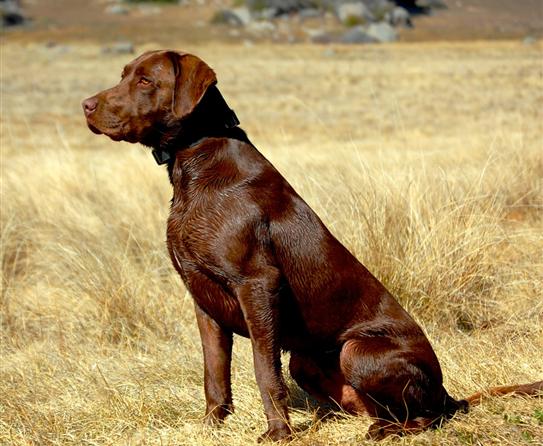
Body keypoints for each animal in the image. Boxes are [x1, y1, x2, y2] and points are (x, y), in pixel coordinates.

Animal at [82, 50, 543, 440]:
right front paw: (212, 426)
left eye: (145, 80)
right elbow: (214, 372)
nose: (86, 105)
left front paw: (278, 433)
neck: (194, 161)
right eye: (123, 74)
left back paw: (390, 431)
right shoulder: (203, 299)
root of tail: (447, 390)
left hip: (358, 350)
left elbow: (263, 371)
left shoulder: (257, 285)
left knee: (427, 416)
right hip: (306, 361)